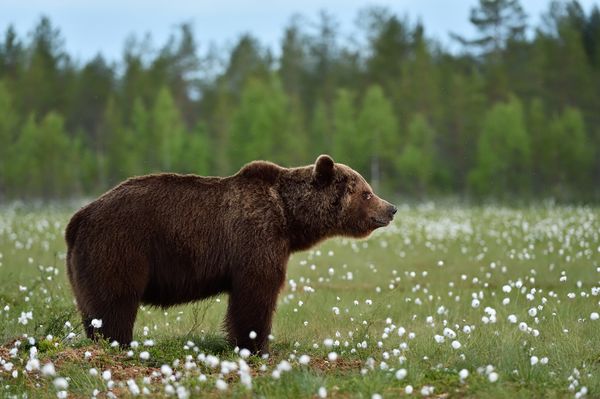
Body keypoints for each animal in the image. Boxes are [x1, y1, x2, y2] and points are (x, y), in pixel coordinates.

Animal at [65, 155, 396, 354]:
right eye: (367, 193)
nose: (390, 208)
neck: (289, 218)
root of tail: (78, 217)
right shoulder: (256, 238)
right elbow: (255, 295)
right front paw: (256, 346)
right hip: (119, 247)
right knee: (115, 302)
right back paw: (118, 343)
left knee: (92, 307)